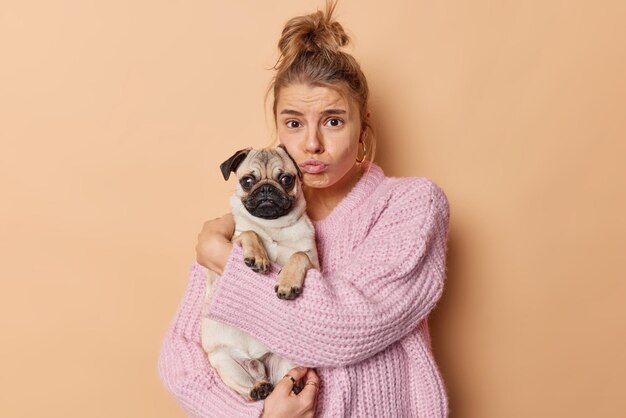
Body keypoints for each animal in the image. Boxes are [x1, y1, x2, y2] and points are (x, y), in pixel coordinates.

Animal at [200, 145, 316, 400]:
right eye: (247, 181)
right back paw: (259, 387)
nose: (266, 189)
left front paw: (287, 282)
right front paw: (258, 257)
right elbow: (250, 232)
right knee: (248, 389)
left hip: (287, 359)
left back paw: (292, 385)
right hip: (224, 361)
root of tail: (258, 362)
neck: (273, 227)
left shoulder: (315, 263)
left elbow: (299, 255)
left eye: (286, 179)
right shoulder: (232, 242)